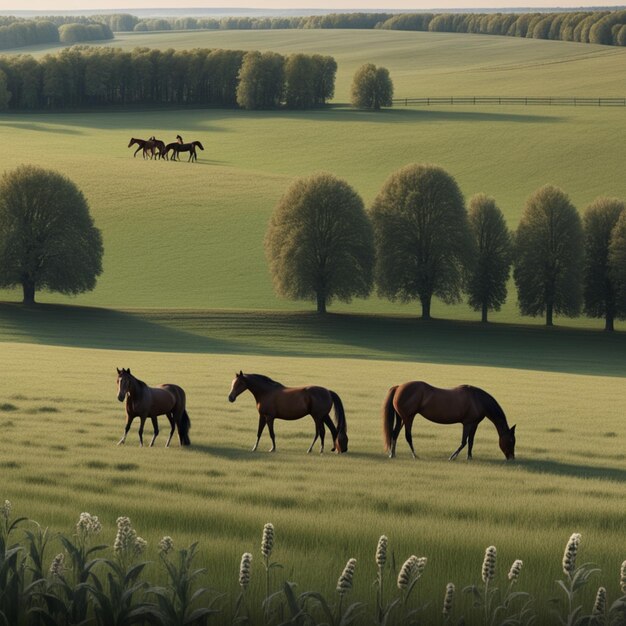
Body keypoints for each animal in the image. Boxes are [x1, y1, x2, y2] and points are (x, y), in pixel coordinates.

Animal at [382, 378, 516, 460]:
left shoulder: (474, 424)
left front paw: (469, 457)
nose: (511, 458)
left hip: (401, 418)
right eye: (511, 440)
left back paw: (392, 454)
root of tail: (399, 387)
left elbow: (471, 442)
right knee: (407, 436)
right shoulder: (467, 423)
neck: (478, 400)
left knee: (394, 433)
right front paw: (453, 457)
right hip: (408, 417)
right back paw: (414, 455)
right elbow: (464, 442)